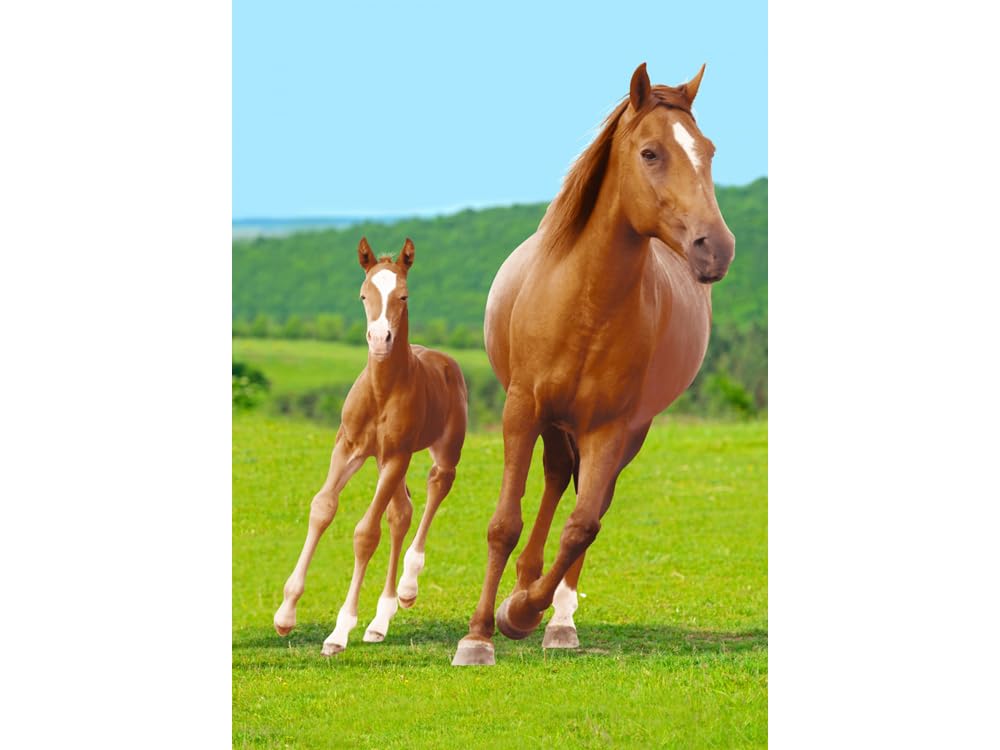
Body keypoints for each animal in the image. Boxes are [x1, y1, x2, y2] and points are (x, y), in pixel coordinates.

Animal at [274, 238, 468, 655]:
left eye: (404, 295)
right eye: (364, 294)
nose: (380, 340)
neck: (382, 392)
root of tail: (445, 361)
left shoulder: (396, 455)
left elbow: (365, 534)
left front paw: (339, 631)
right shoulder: (348, 448)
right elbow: (322, 507)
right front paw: (285, 614)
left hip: (439, 452)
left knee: (435, 488)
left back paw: (407, 588)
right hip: (380, 461)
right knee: (401, 513)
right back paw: (381, 621)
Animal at [452, 63, 736, 666]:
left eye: (708, 151)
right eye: (650, 153)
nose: (715, 248)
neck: (585, 303)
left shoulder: (609, 427)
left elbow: (582, 525)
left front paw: (523, 613)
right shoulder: (522, 411)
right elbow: (504, 522)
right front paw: (479, 634)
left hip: (621, 433)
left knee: (586, 500)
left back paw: (554, 618)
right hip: (553, 423)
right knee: (557, 477)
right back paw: (521, 587)